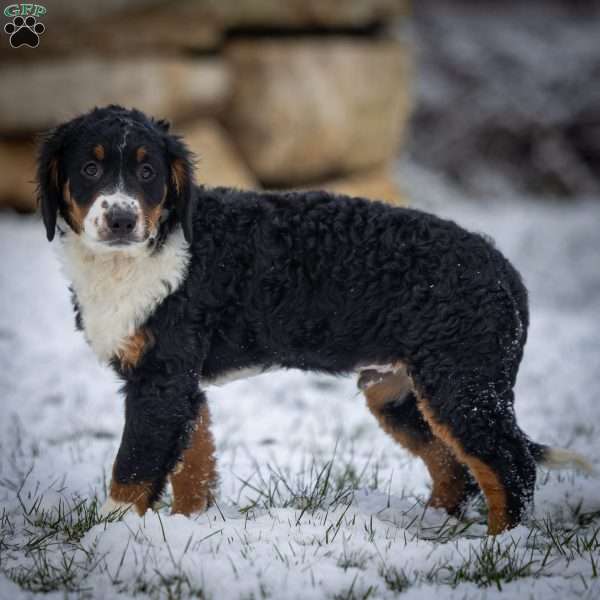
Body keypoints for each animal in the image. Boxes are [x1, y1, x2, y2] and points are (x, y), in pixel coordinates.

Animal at [37, 104, 592, 536]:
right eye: (90, 169)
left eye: (148, 172)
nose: (121, 219)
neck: (150, 251)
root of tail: (502, 268)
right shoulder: (180, 386)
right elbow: (192, 467)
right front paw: (188, 529)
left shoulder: (161, 380)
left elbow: (131, 471)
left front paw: (109, 539)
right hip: (398, 391)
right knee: (453, 466)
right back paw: (428, 528)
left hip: (462, 382)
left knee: (510, 466)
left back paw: (498, 547)